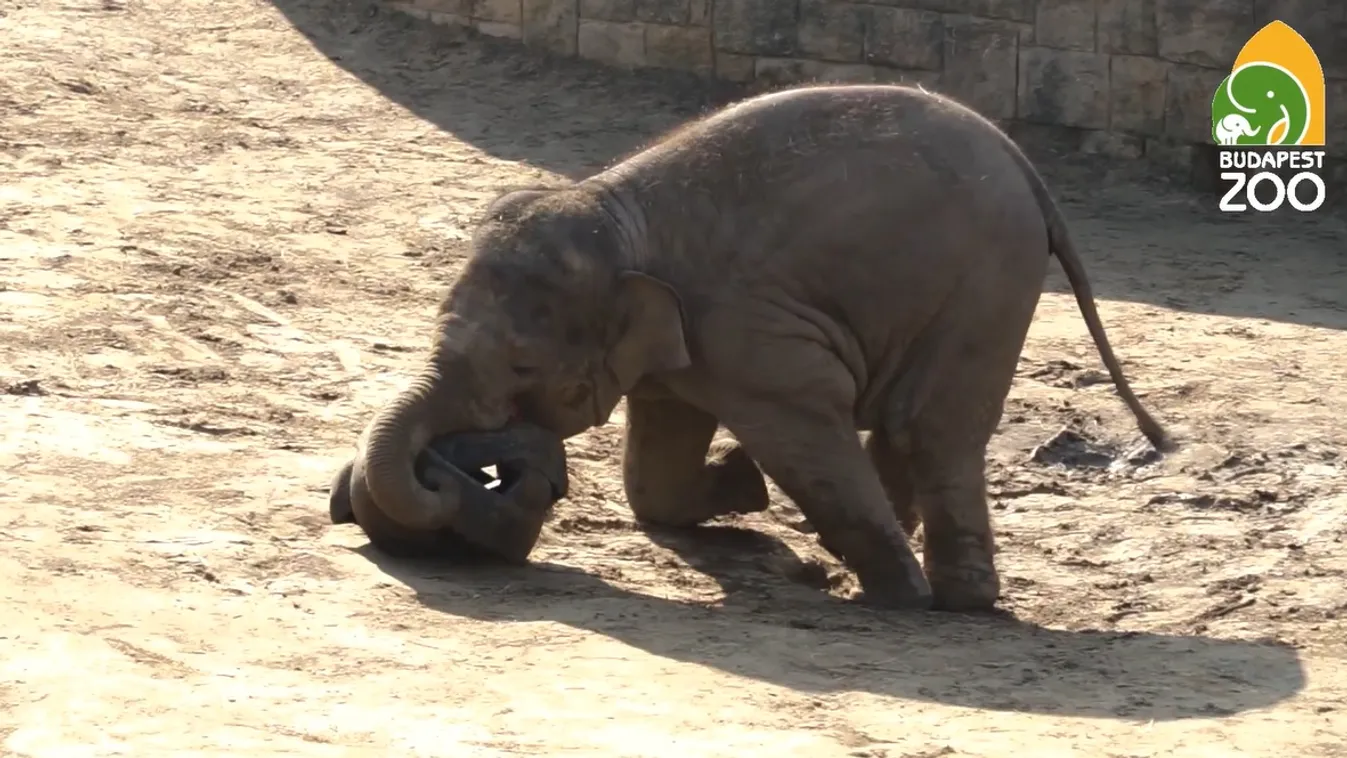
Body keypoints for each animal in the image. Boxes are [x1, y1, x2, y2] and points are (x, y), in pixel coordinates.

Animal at [344, 83, 1169, 613]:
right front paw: (742, 485)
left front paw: (886, 591)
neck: (615, 210)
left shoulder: (749, 336)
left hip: (986, 279)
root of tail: (1027, 169)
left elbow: (800, 432)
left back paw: (948, 601)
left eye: (520, 366)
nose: (450, 472)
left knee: (930, 425)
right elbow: (654, 472)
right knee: (907, 422)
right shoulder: (678, 348)